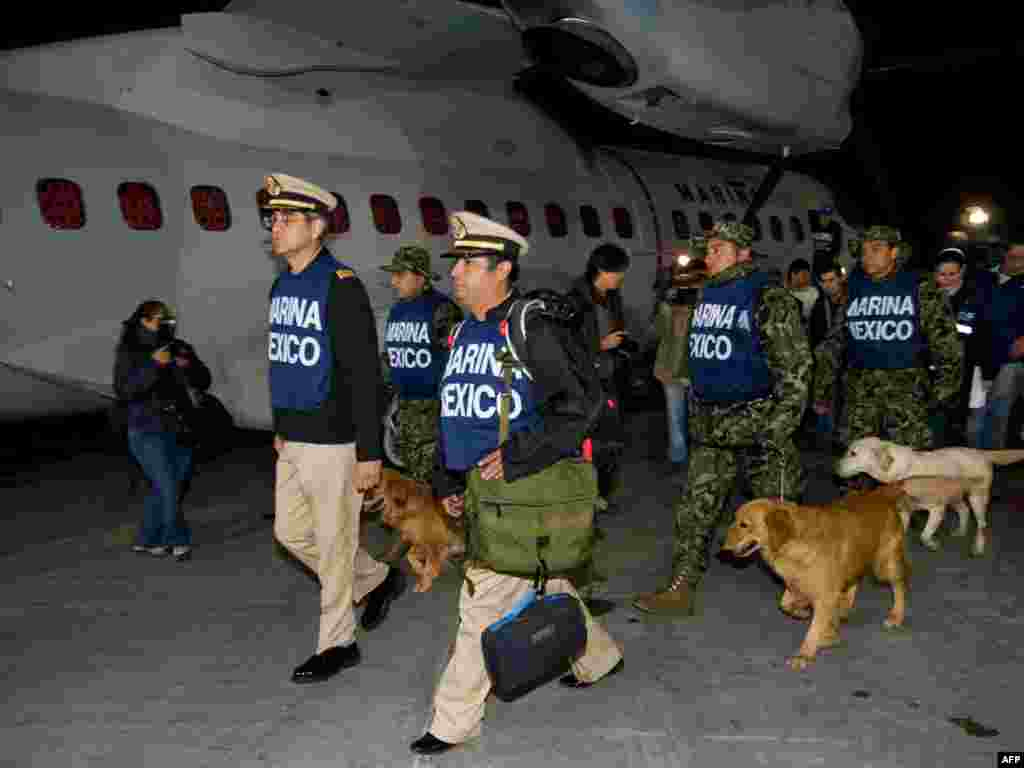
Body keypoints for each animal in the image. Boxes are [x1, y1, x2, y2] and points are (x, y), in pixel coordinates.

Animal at [716, 489, 909, 671]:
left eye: (744, 524)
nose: (721, 545)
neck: (793, 542)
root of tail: (882, 495)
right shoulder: (795, 584)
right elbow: (785, 604)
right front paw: (802, 613)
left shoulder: (825, 595)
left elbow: (814, 628)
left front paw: (806, 653)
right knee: (854, 582)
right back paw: (844, 608)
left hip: (883, 566)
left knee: (900, 585)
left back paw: (896, 616)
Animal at [835, 438, 1024, 561]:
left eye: (853, 453)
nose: (834, 468)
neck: (903, 473)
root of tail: (981, 453)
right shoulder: (904, 511)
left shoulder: (936, 509)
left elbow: (924, 535)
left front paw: (932, 544)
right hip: (954, 497)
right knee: (964, 510)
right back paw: (961, 531)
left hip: (977, 498)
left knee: (981, 524)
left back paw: (978, 548)